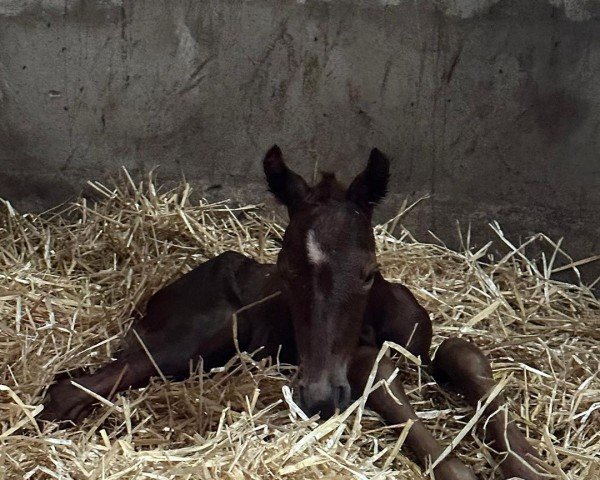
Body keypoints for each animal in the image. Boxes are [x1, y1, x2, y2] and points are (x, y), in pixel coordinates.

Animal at [41, 146, 548, 480]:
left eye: (368, 272)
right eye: (285, 273)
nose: (319, 397)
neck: (375, 321)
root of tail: (155, 297)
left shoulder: (422, 341)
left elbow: (463, 357)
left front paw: (529, 463)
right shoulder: (357, 362)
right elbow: (382, 377)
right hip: (199, 335)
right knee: (72, 387)